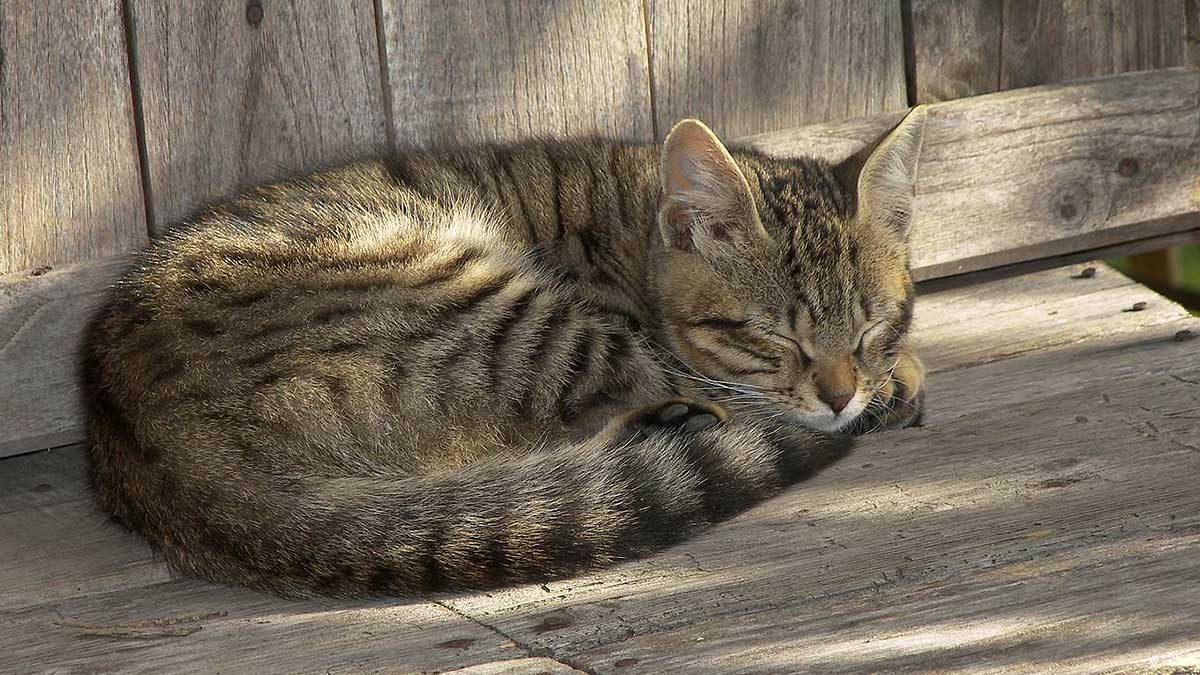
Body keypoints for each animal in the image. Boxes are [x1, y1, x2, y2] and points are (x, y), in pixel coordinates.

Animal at [82, 109, 926, 593]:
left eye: (871, 325)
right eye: (772, 333)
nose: (841, 392)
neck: (630, 228)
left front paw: (893, 370)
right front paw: (891, 385)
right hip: (489, 303)